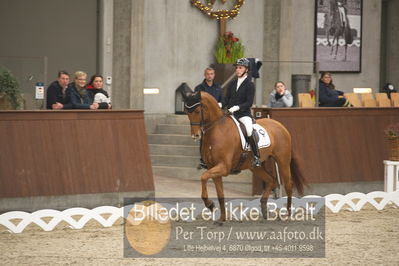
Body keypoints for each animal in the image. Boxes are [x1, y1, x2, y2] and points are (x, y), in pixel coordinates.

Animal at [183, 90, 308, 223]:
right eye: (187, 112)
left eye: (197, 111)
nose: (195, 135)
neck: (217, 129)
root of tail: (281, 126)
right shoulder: (214, 167)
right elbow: (220, 193)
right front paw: (221, 218)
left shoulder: (223, 167)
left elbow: (203, 177)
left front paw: (209, 204)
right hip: (255, 166)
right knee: (271, 180)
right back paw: (264, 210)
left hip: (282, 160)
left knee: (288, 184)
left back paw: (287, 215)